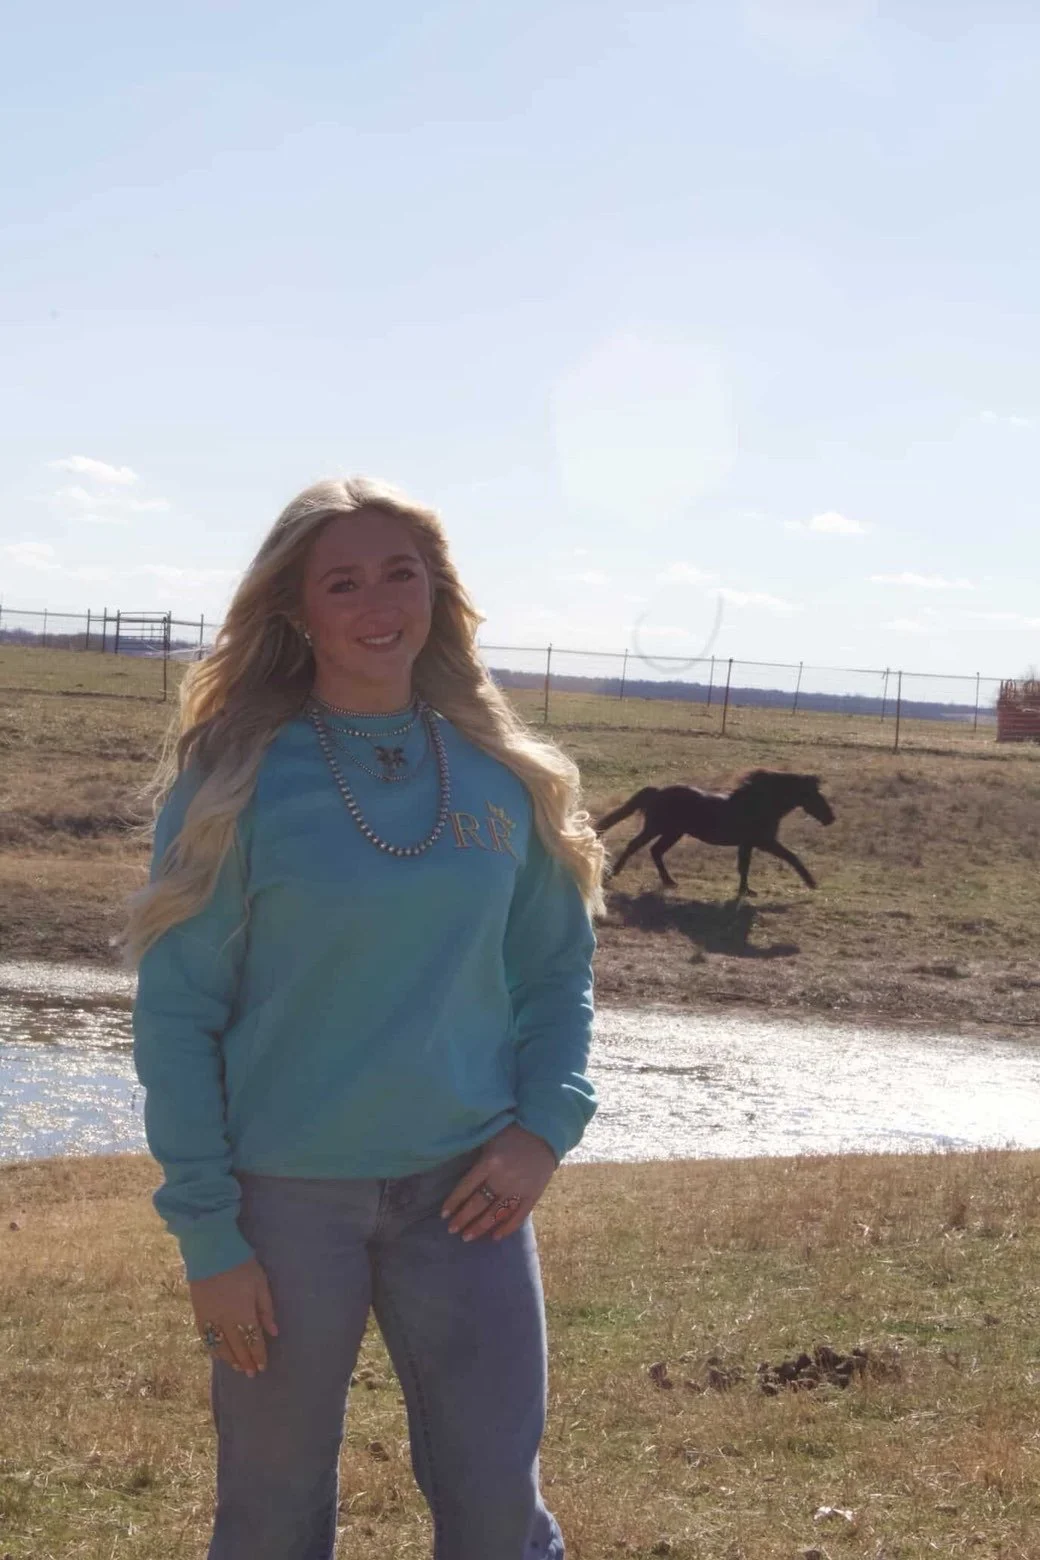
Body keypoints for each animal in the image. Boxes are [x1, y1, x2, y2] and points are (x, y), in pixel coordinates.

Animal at [596, 769, 835, 897]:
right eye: (814, 795)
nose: (830, 818)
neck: (759, 804)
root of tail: (657, 792)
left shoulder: (748, 843)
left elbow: (744, 866)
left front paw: (746, 891)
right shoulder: (764, 841)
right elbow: (791, 857)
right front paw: (811, 882)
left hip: (673, 832)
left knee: (656, 851)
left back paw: (670, 881)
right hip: (657, 828)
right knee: (635, 845)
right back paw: (611, 875)